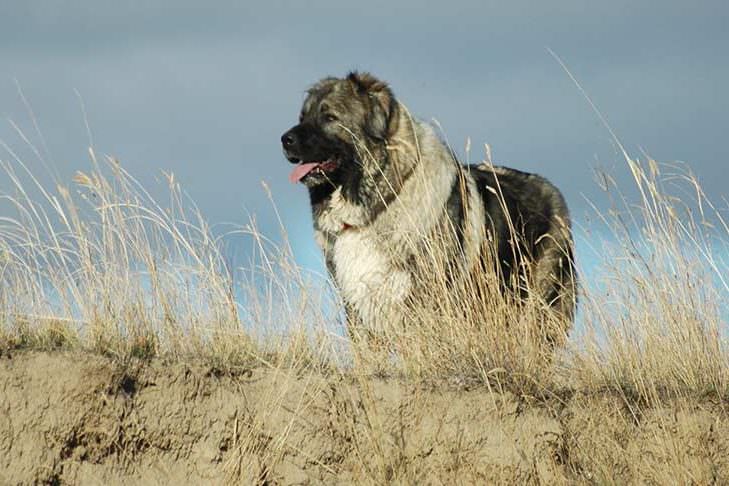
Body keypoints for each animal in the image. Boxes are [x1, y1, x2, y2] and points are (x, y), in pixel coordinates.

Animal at [282, 72, 576, 346]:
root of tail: (552, 190)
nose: (285, 139)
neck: (383, 202)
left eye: (330, 116)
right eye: (302, 116)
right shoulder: (357, 303)